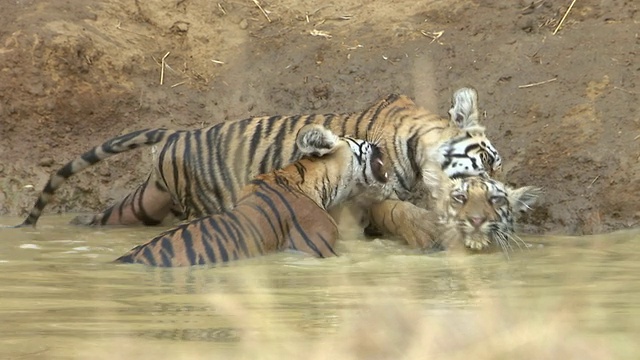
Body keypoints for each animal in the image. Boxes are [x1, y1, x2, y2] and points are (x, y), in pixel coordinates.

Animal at [17, 87, 502, 246]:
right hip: (201, 205)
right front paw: (429, 233)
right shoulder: (373, 188)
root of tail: (176, 134)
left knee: (107, 215)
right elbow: (399, 210)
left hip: (145, 203)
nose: (498, 199)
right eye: (485, 164)